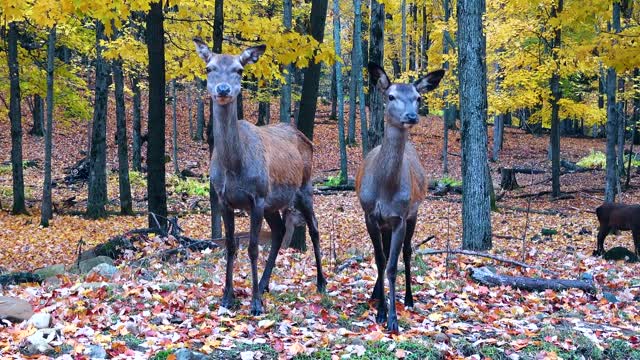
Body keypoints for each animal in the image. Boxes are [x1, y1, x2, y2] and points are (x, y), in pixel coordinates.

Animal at [194, 38, 324, 316]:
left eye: (239, 69)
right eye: (209, 68)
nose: (223, 89)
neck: (234, 166)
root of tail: (306, 137)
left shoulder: (257, 197)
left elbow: (253, 248)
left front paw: (254, 304)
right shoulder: (223, 199)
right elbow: (231, 246)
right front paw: (227, 297)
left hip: (304, 187)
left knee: (315, 228)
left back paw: (321, 282)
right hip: (273, 204)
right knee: (278, 231)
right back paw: (264, 284)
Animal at [356, 62, 444, 332]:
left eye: (418, 97)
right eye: (391, 96)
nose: (411, 116)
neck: (385, 190)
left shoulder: (400, 217)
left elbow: (392, 266)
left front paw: (392, 318)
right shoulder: (370, 214)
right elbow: (380, 260)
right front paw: (381, 311)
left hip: (413, 213)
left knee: (407, 252)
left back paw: (409, 298)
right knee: (384, 253)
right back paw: (375, 294)